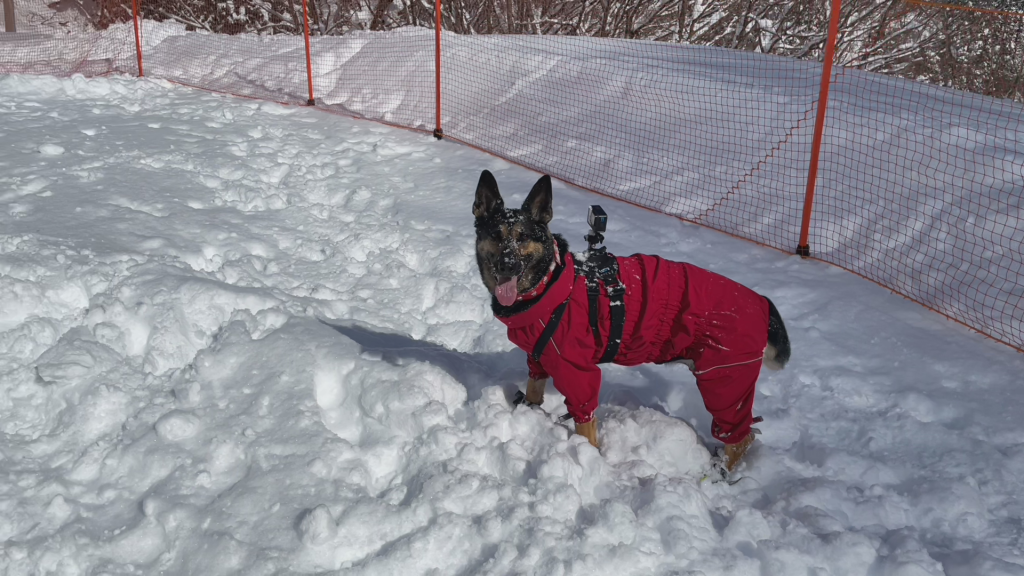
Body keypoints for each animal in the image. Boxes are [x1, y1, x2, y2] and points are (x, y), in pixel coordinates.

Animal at [474, 170, 790, 471]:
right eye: (496, 235)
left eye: (523, 237)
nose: (507, 265)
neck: (550, 284)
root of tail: (763, 303)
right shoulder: (538, 357)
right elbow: (534, 389)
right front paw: (529, 411)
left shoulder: (579, 373)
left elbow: (585, 423)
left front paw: (590, 456)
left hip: (724, 381)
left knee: (742, 435)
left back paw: (717, 473)